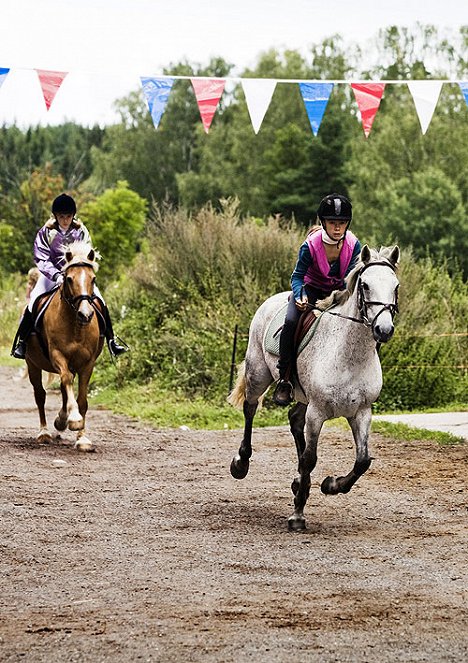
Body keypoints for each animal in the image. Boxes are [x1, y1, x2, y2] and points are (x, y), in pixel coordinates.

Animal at [25, 241, 104, 454]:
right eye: (69, 279)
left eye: (93, 279)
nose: (86, 314)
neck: (76, 326)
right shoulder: (57, 355)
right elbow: (66, 381)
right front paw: (74, 419)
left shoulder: (87, 364)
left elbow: (82, 400)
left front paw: (82, 438)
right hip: (32, 364)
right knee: (40, 395)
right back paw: (44, 432)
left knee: (62, 387)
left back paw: (61, 420)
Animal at [229, 246, 400, 532]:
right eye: (365, 285)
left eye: (395, 286)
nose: (384, 329)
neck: (349, 357)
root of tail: (273, 299)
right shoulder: (317, 412)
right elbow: (310, 458)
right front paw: (297, 514)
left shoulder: (362, 412)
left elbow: (363, 461)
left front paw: (331, 485)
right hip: (258, 374)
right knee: (250, 409)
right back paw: (241, 463)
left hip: (302, 398)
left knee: (294, 419)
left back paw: (299, 481)